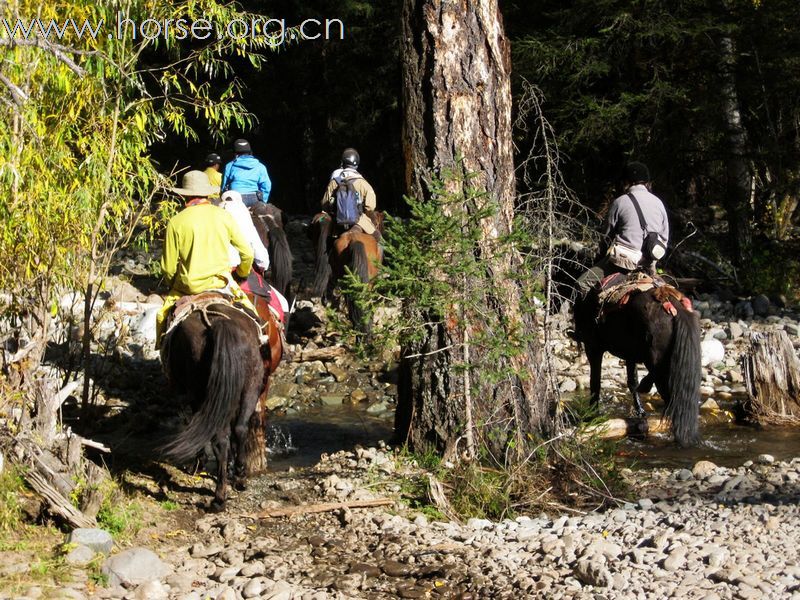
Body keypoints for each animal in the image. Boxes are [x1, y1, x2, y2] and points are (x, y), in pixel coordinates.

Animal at [161, 296, 282, 510]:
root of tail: (221, 323)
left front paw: (197, 464)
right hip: (251, 387)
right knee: (241, 428)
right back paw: (240, 477)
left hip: (202, 395)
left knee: (218, 439)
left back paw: (219, 497)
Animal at [576, 282, 700, 446]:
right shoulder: (630, 354)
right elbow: (632, 381)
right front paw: (640, 412)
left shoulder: (593, 348)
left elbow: (595, 383)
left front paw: (592, 415)